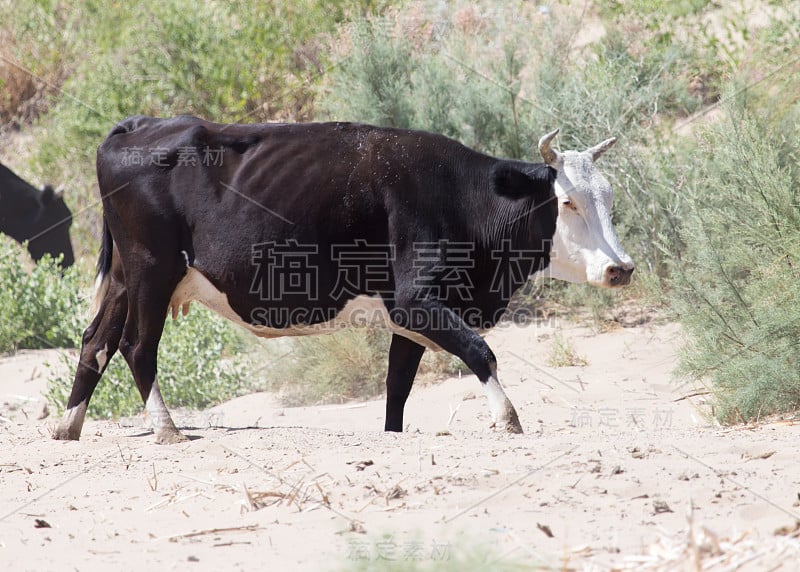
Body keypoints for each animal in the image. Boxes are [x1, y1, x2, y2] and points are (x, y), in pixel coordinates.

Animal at [53, 116, 636, 444]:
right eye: (567, 202)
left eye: (609, 198)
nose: (621, 267)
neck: (461, 196)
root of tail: (139, 125)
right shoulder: (416, 300)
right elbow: (480, 351)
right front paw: (508, 418)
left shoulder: (409, 317)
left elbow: (398, 385)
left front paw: (393, 435)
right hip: (152, 270)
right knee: (136, 346)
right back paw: (167, 429)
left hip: (126, 278)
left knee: (95, 342)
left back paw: (68, 426)